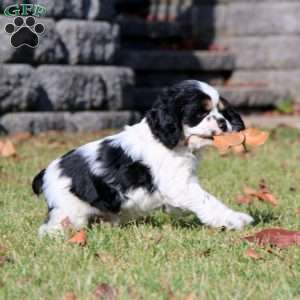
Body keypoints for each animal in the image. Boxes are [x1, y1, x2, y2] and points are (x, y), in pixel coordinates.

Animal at [32, 81, 253, 236]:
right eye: (200, 112)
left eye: (222, 111)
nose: (223, 123)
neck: (168, 140)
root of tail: (46, 172)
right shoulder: (180, 185)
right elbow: (207, 201)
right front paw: (235, 219)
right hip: (69, 211)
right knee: (49, 229)